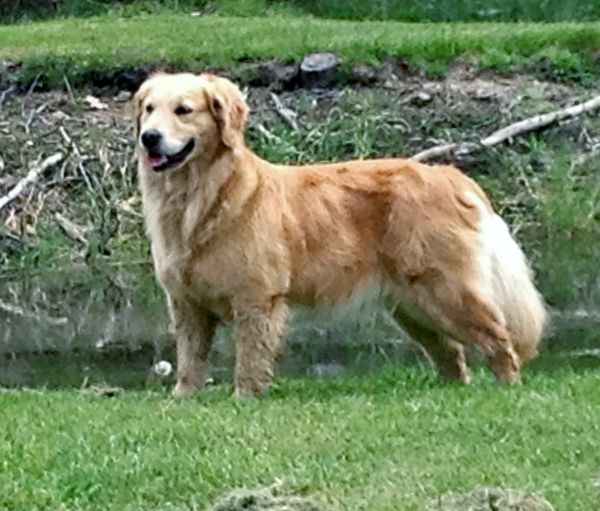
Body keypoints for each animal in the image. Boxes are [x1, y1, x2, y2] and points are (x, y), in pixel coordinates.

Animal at [131, 72, 547, 398]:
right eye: (149, 108)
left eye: (184, 110)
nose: (149, 137)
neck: (201, 196)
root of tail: (451, 175)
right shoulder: (185, 303)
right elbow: (189, 358)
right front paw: (183, 398)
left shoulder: (257, 298)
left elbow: (249, 360)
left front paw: (243, 398)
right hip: (412, 305)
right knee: (452, 355)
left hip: (447, 290)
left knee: (499, 339)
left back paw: (509, 388)